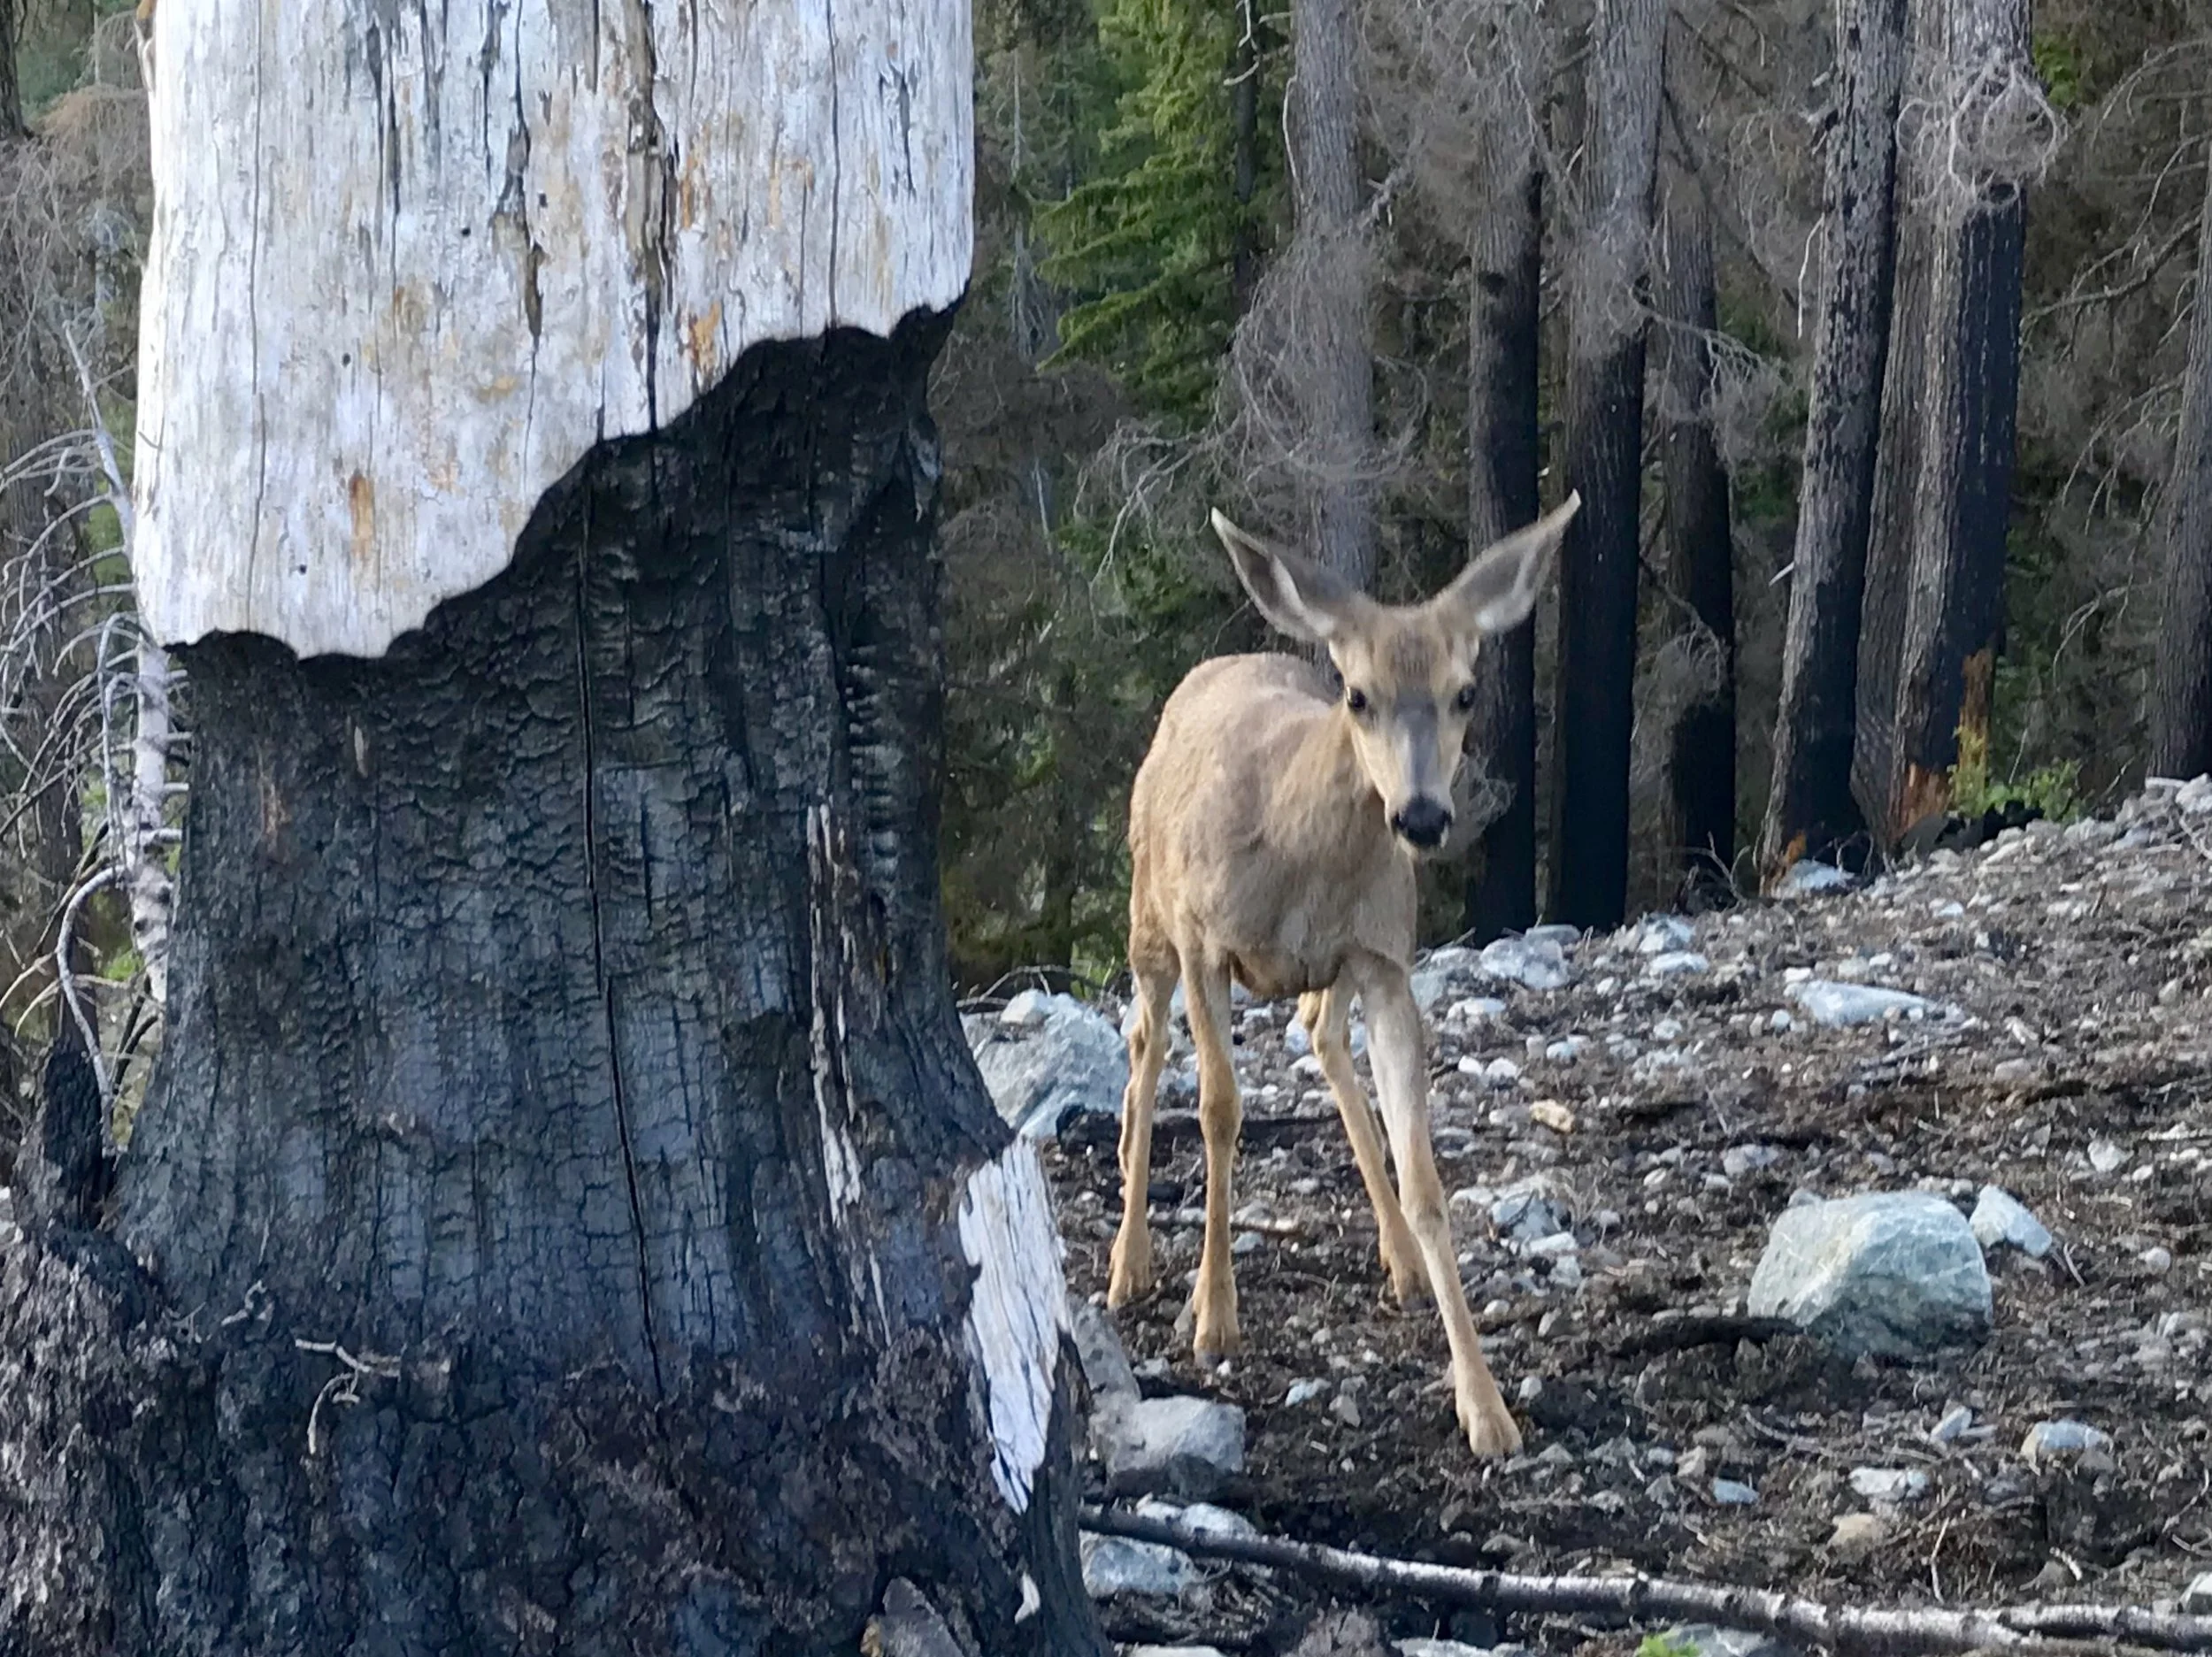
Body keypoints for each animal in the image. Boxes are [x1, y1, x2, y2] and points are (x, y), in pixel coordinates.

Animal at [1107, 492, 1581, 1458]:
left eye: (1464, 692)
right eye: (1358, 696)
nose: (1423, 817)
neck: (1299, 858)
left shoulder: (1385, 956)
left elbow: (1426, 1172)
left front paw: (1486, 1405)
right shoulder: (1204, 936)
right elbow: (1218, 1109)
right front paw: (1211, 1316)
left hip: (1327, 968)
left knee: (1316, 1032)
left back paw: (1398, 1256)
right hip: (1148, 916)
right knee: (1143, 1050)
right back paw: (1126, 1266)